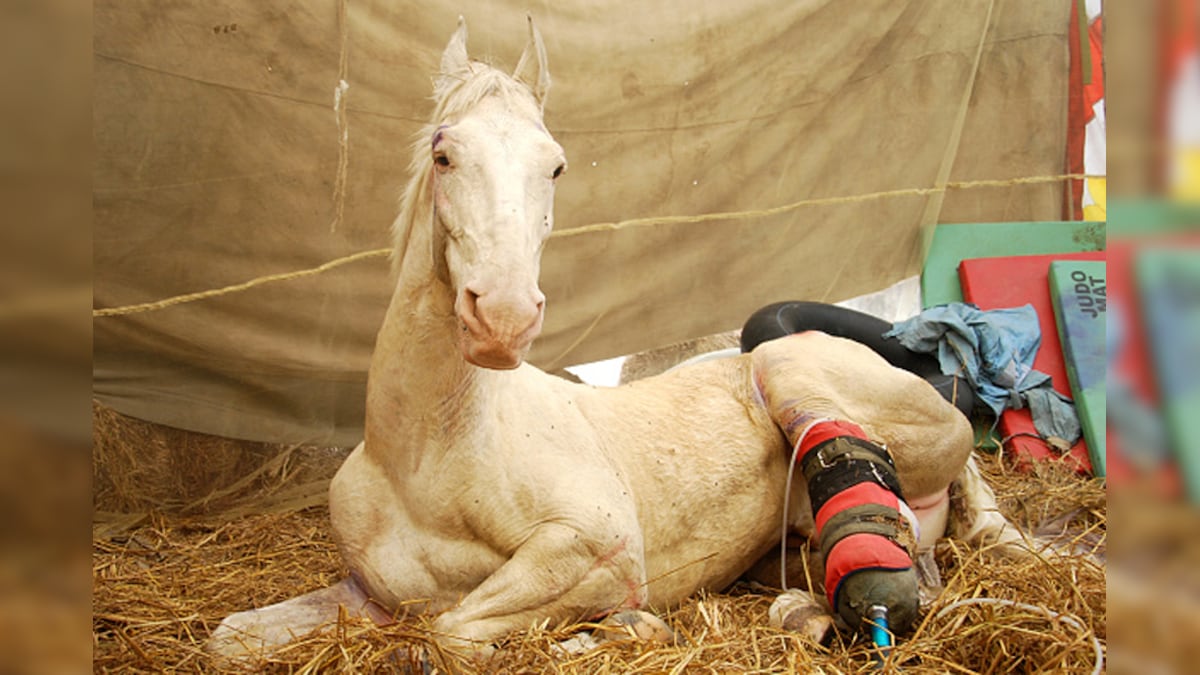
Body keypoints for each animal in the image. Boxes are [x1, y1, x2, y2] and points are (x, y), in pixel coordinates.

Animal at [208, 17, 1025, 663]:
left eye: (555, 165)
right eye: (444, 154)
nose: (502, 317)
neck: (426, 456)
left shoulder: (594, 550)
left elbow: (453, 632)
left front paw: (618, 628)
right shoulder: (367, 593)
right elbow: (229, 638)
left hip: (792, 364)